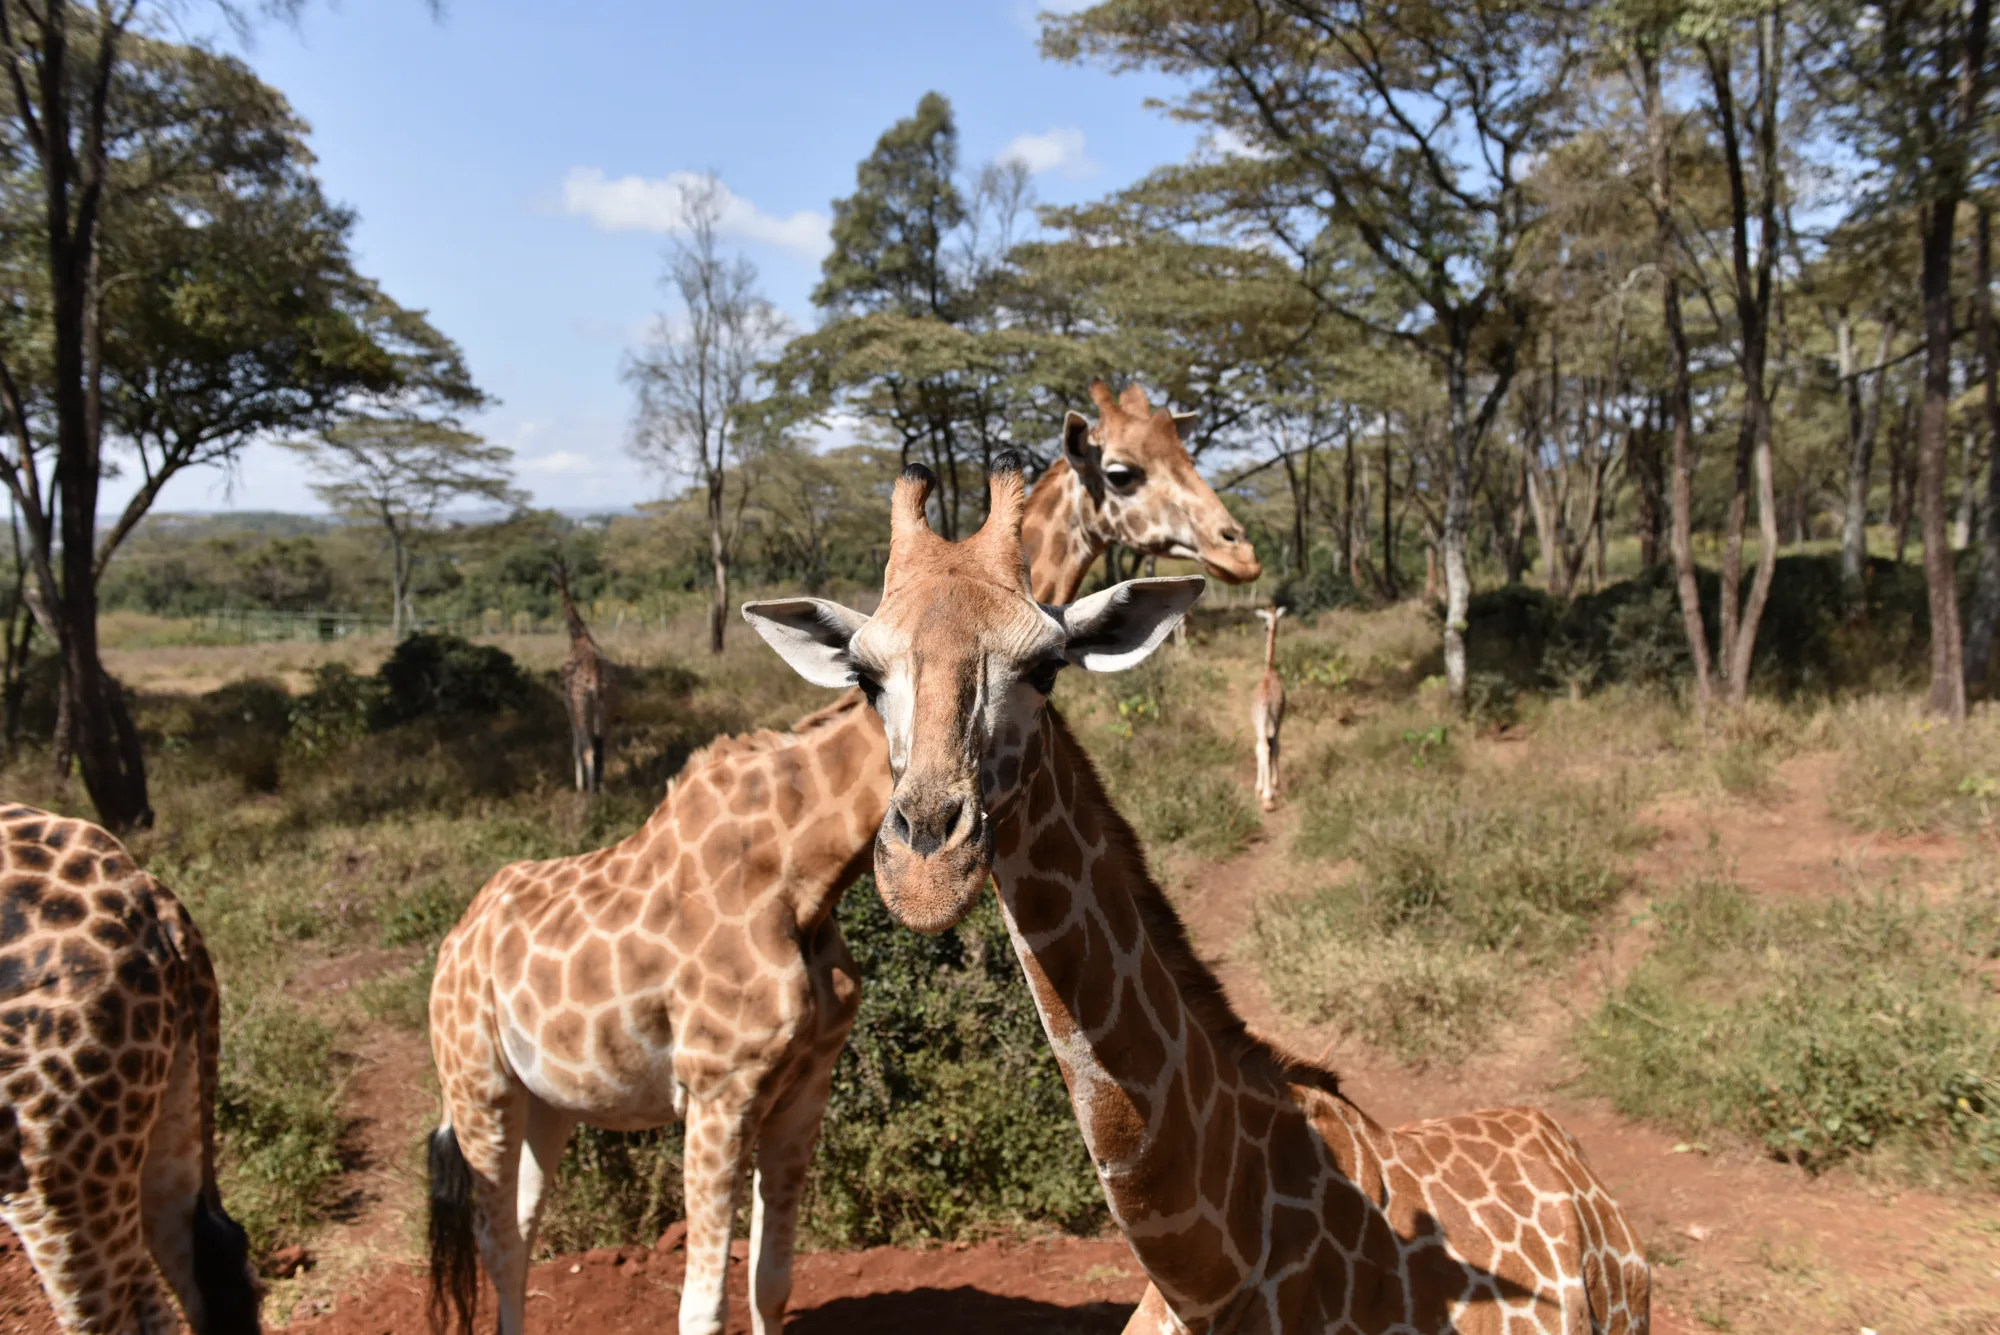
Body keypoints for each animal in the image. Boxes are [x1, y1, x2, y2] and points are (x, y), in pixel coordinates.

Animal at [551, 557, 613, 795]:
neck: (578, 637)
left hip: (581, 704)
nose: (559, 587)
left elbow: (575, 745)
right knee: (601, 743)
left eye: (557, 579)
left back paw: (589, 794)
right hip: (601, 703)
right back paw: (601, 787)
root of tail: (594, 677)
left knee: (588, 748)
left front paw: (578, 785)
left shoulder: (568, 702)